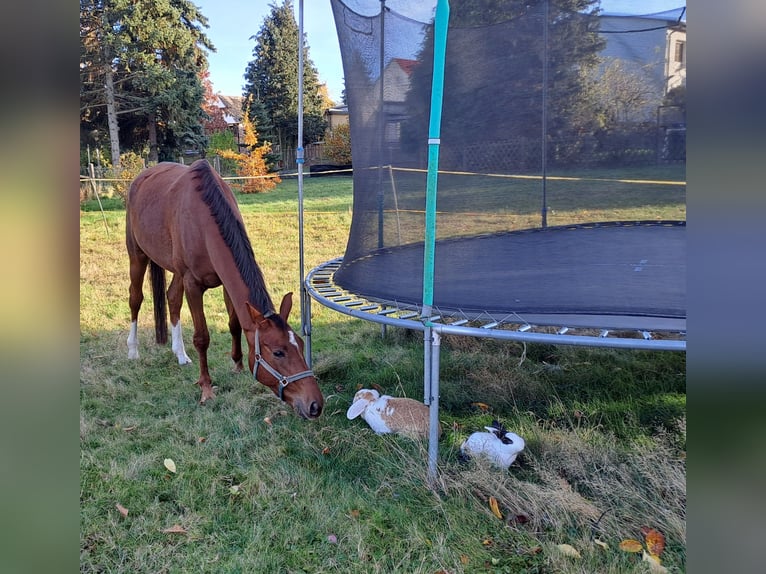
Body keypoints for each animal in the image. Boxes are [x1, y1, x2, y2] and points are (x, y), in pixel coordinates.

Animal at [125, 159, 323, 419]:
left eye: (300, 344)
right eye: (278, 352)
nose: (315, 405)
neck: (202, 220)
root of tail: (141, 177)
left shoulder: (225, 282)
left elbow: (234, 324)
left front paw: (237, 365)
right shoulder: (192, 284)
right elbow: (202, 337)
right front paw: (206, 388)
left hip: (176, 271)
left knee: (172, 299)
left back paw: (180, 354)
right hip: (137, 255)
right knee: (135, 299)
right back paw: (133, 351)